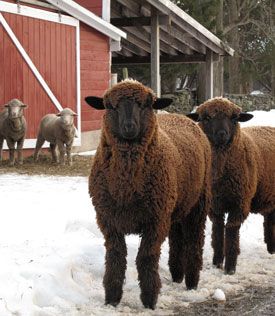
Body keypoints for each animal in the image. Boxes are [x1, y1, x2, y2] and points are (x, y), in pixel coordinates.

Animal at [85, 80, 212, 310]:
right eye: (110, 106)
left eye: (146, 104)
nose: (129, 127)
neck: (126, 186)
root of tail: (180, 116)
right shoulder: (108, 220)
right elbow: (115, 257)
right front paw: (112, 298)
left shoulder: (155, 220)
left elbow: (146, 257)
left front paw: (150, 298)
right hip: (173, 205)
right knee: (176, 238)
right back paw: (176, 274)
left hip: (198, 203)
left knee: (194, 240)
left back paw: (191, 281)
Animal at [189, 97, 275, 276]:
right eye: (206, 118)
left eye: (234, 118)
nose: (222, 134)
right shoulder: (214, 206)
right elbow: (217, 231)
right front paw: (217, 262)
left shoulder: (239, 203)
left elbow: (231, 232)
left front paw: (230, 267)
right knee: (269, 220)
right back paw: (271, 249)